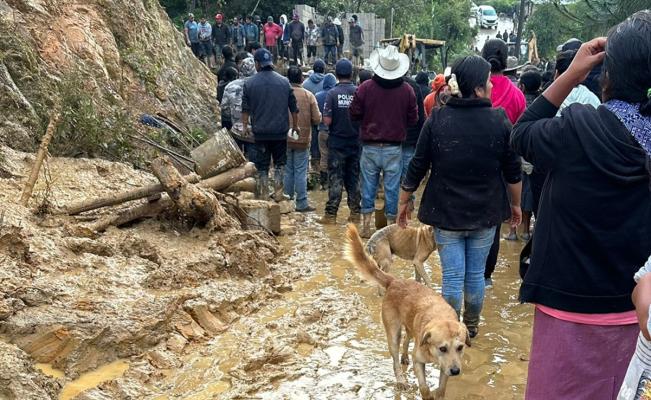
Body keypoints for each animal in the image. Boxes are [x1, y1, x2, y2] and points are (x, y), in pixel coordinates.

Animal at [346, 225, 468, 400]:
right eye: (442, 348)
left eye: (460, 347)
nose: (456, 371)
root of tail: (394, 281)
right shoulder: (419, 361)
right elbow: (424, 387)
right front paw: (427, 395)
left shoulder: (446, 367)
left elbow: (442, 387)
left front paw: (438, 393)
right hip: (393, 333)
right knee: (395, 359)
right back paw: (401, 380)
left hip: (410, 328)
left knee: (405, 341)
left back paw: (404, 357)